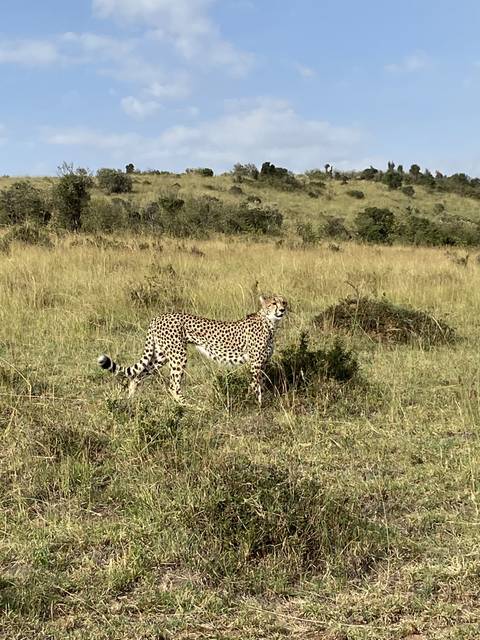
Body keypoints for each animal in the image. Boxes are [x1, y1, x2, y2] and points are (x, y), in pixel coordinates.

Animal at [97, 295, 288, 405]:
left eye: (284, 302)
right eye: (273, 303)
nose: (282, 309)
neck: (270, 323)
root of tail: (158, 316)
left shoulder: (262, 363)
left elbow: (258, 383)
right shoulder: (256, 364)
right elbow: (256, 385)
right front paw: (257, 405)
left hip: (160, 355)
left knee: (137, 375)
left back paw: (131, 399)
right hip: (178, 355)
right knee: (173, 385)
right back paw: (186, 405)